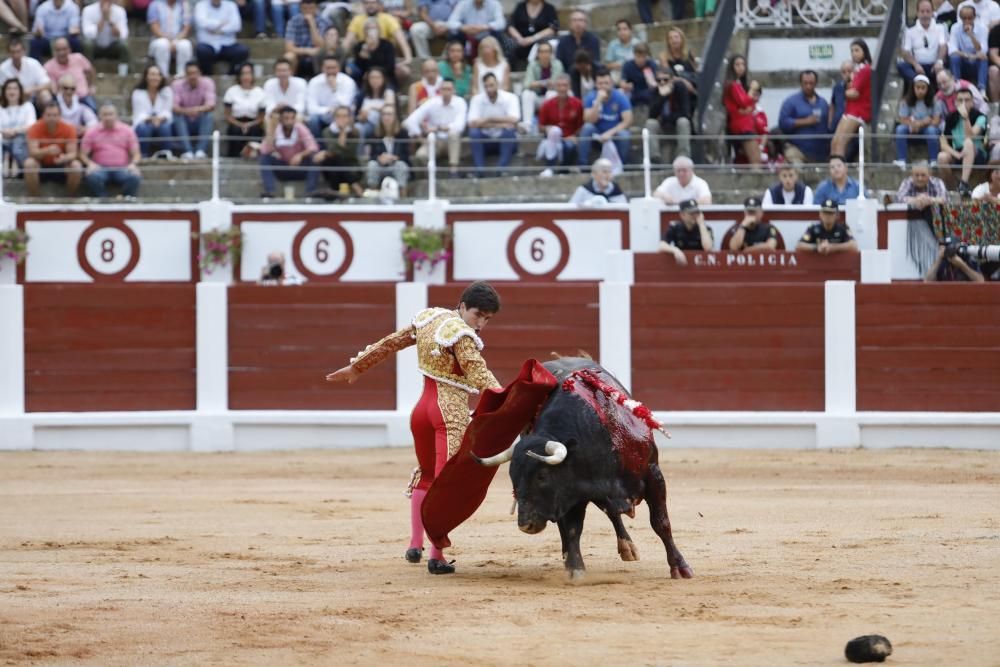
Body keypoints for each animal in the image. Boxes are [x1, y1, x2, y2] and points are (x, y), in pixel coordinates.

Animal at [472, 358, 692, 580]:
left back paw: (627, 548)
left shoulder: (653, 474)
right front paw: (575, 568)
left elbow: (660, 523)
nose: (525, 525)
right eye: (512, 477)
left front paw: (680, 567)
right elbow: (571, 529)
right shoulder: (571, 493)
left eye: (542, 476)